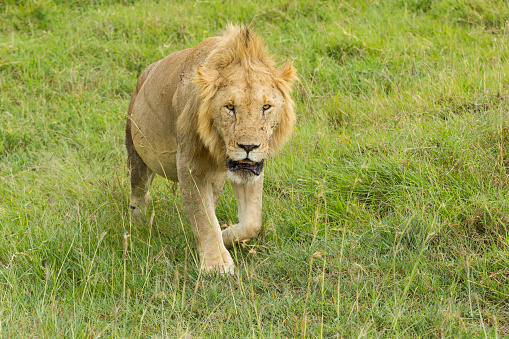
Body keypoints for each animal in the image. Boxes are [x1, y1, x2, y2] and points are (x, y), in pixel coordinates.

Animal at [124, 23, 296, 274]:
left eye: (266, 107)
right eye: (230, 107)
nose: (248, 146)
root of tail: (145, 73)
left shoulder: (249, 169)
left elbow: (252, 221)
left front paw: (225, 236)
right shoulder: (191, 166)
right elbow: (203, 216)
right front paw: (217, 265)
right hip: (137, 153)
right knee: (138, 194)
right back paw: (138, 227)